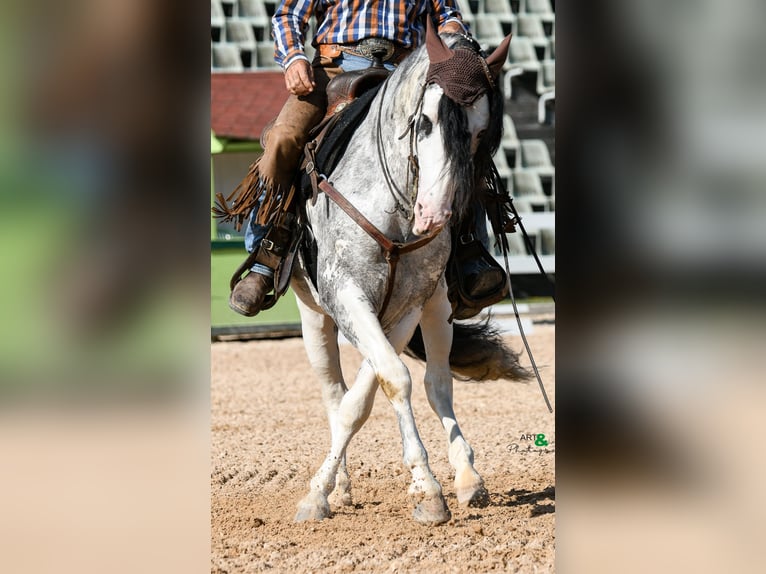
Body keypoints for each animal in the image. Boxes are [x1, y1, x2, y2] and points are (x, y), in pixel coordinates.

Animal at [292, 23, 532, 528]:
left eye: (482, 135)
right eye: (423, 122)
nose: (434, 216)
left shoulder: (406, 306)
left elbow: (378, 387)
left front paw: (430, 488)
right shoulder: (345, 296)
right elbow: (375, 388)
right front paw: (320, 493)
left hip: (438, 308)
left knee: (437, 385)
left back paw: (467, 478)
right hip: (313, 316)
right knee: (333, 392)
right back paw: (340, 487)